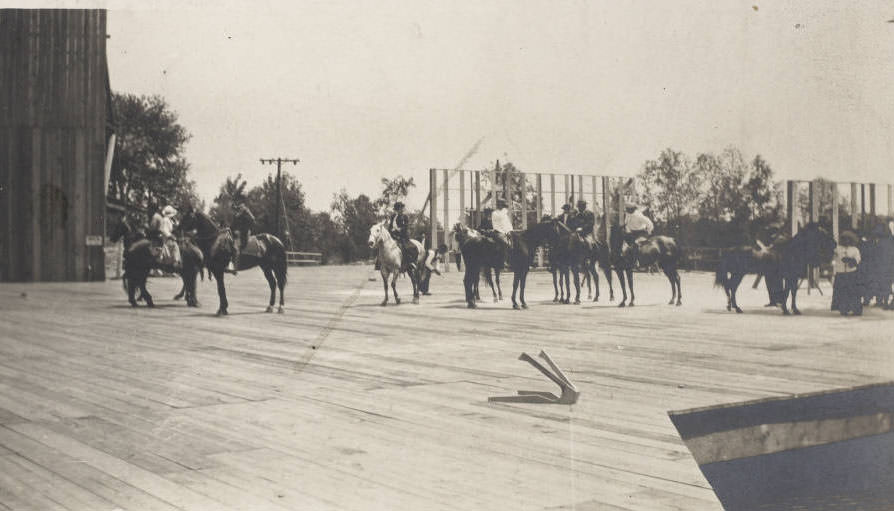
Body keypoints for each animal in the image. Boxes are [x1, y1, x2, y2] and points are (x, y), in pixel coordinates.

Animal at [712, 224, 840, 316]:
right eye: (823, 234)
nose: (835, 243)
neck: (792, 251)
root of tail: (729, 250)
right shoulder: (789, 277)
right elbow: (787, 293)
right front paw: (786, 310)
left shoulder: (793, 278)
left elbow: (792, 292)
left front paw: (794, 310)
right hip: (738, 274)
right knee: (731, 287)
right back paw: (736, 308)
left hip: (737, 274)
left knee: (730, 287)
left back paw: (732, 307)